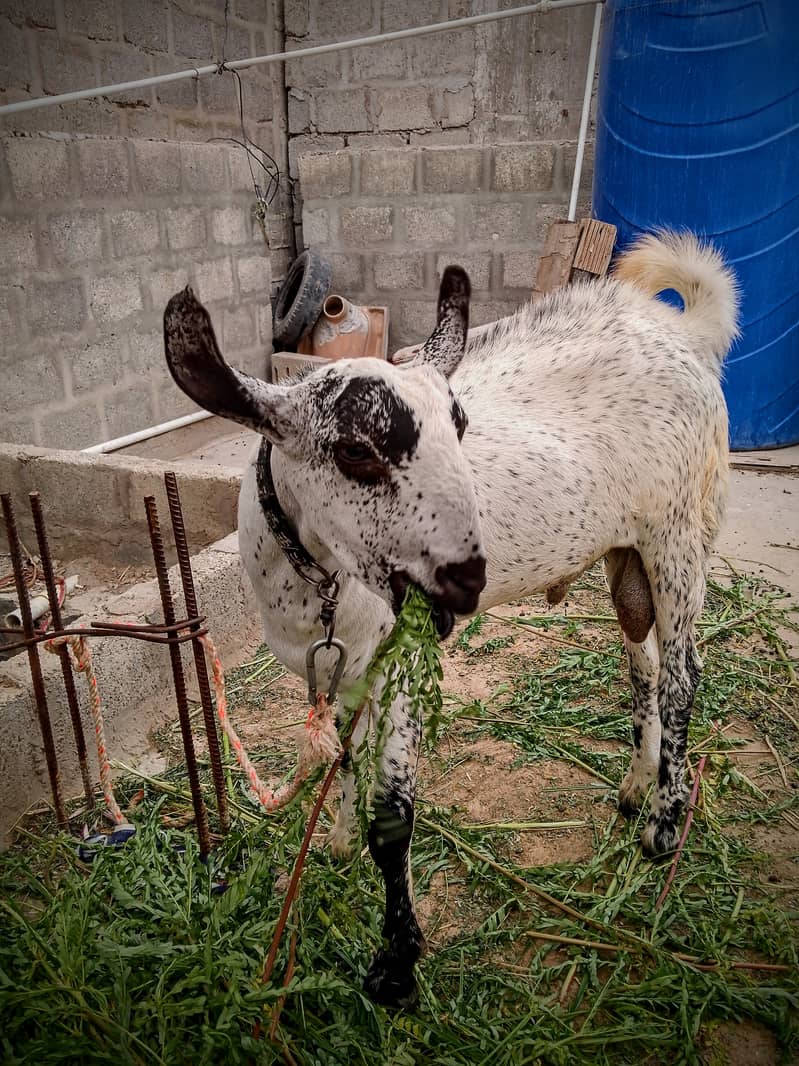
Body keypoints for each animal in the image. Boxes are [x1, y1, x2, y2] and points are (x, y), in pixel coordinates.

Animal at [164, 231, 745, 1006]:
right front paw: (338, 842)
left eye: (459, 424)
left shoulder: (405, 656)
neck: (319, 581)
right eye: (356, 451)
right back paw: (635, 786)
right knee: (643, 662)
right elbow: (345, 752)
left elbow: (392, 817)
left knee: (684, 676)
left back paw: (663, 827)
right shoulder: (347, 662)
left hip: (682, 534)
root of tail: (680, 333)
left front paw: (396, 965)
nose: (469, 576)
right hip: (627, 558)